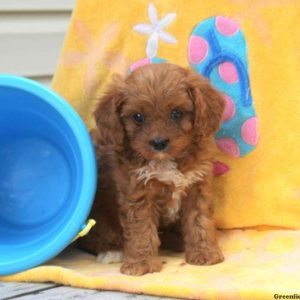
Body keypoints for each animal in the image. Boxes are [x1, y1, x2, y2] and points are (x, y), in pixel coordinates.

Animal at [79, 63, 225, 276]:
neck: (165, 161)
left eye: (177, 113)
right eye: (138, 117)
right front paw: (142, 264)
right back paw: (111, 252)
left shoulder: (197, 185)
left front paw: (204, 252)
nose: (159, 143)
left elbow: (199, 221)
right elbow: (141, 229)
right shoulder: (138, 193)